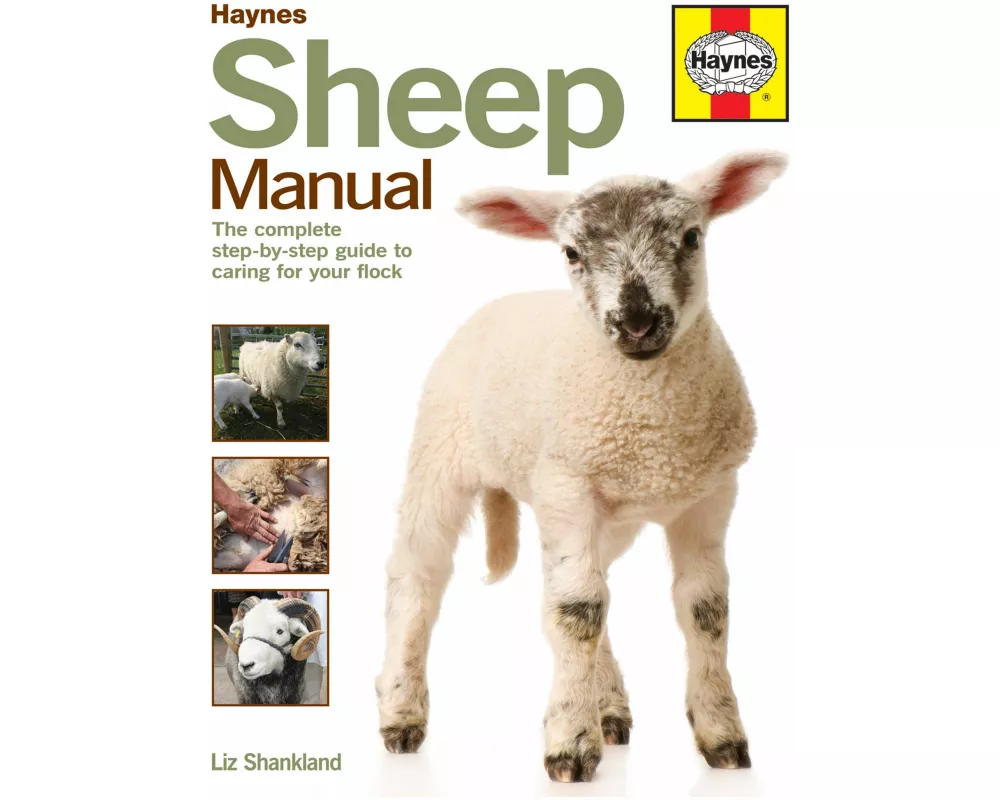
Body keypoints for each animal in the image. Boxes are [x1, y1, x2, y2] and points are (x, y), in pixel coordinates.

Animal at [376, 151, 786, 781]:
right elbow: (577, 612)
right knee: (417, 576)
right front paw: (569, 743)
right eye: (571, 252)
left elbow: (705, 610)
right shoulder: (568, 485)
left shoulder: (709, 495)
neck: (655, 433)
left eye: (691, 237)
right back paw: (400, 713)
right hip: (441, 454)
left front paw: (721, 735)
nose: (637, 322)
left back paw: (609, 707)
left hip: (603, 513)